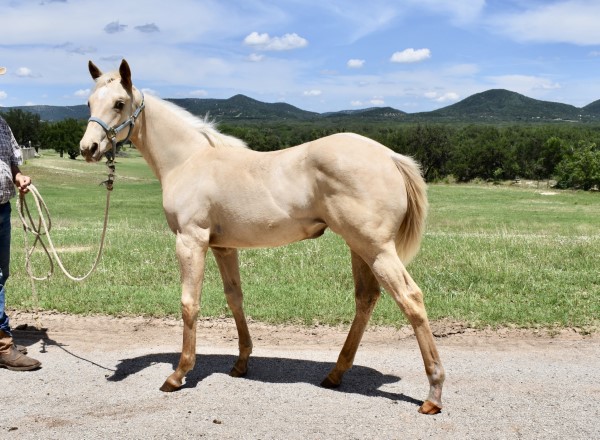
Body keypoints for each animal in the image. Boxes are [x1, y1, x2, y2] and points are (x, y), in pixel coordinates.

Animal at [79, 60, 446, 414]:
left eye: (119, 103)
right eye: (89, 102)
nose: (88, 148)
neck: (190, 161)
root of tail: (390, 156)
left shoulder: (190, 241)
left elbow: (189, 304)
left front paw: (179, 374)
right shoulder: (224, 247)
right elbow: (235, 299)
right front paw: (241, 363)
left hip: (376, 249)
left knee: (411, 299)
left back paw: (433, 393)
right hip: (359, 248)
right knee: (366, 299)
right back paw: (335, 374)